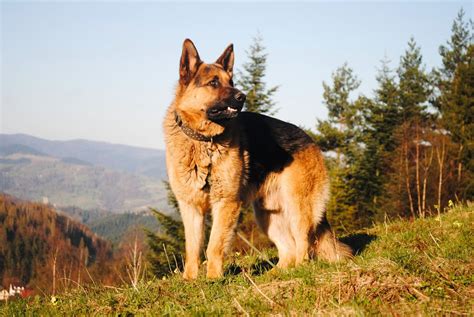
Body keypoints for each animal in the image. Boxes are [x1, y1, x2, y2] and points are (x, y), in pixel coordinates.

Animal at [164, 39, 352, 278]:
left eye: (231, 81)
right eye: (213, 82)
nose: (242, 96)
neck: (203, 140)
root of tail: (309, 138)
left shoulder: (226, 204)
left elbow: (214, 245)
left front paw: (213, 279)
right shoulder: (190, 208)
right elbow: (192, 249)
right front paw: (190, 280)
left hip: (298, 208)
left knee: (303, 243)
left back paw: (300, 269)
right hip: (267, 216)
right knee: (288, 248)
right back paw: (278, 273)